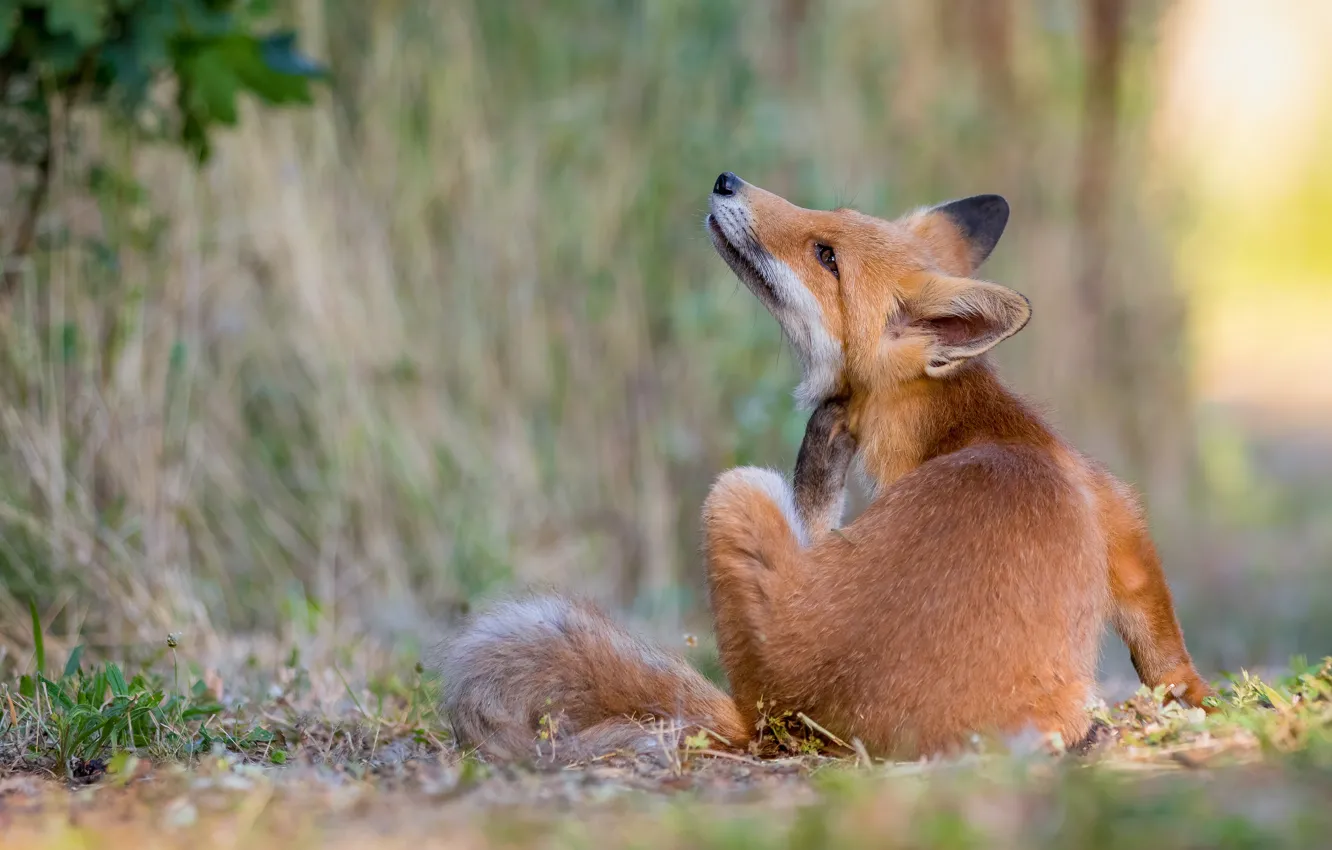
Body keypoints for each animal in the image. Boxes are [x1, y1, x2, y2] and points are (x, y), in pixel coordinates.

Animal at [433, 171, 1216, 764]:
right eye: (827, 221)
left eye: (825, 255)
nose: (727, 179)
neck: (973, 422)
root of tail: (784, 726)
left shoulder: (1117, 513)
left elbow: (1162, 638)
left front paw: (1192, 702)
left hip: (735, 492)